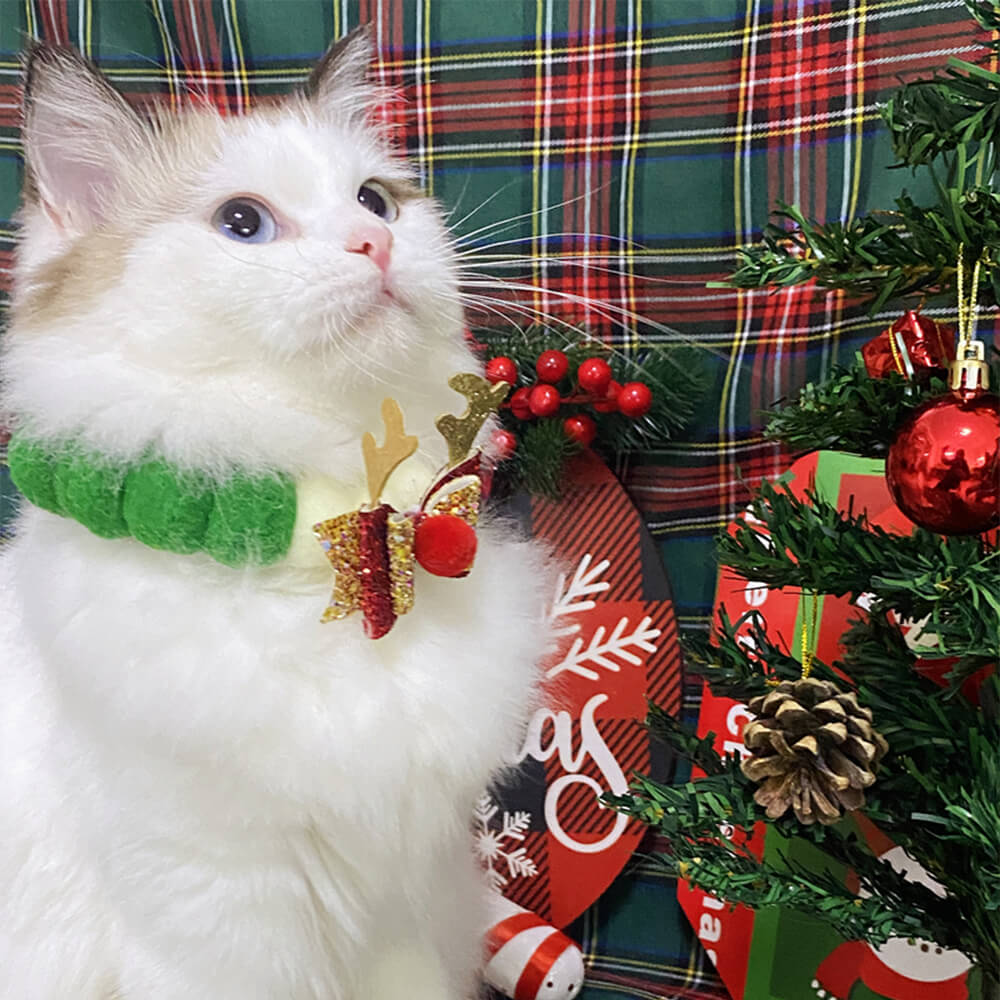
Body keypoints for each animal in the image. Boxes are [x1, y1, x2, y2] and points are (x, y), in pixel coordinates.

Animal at [0, 31, 556, 1000]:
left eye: (375, 200)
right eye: (243, 223)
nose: (376, 242)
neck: (347, 545)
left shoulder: (406, 915)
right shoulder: (221, 917)